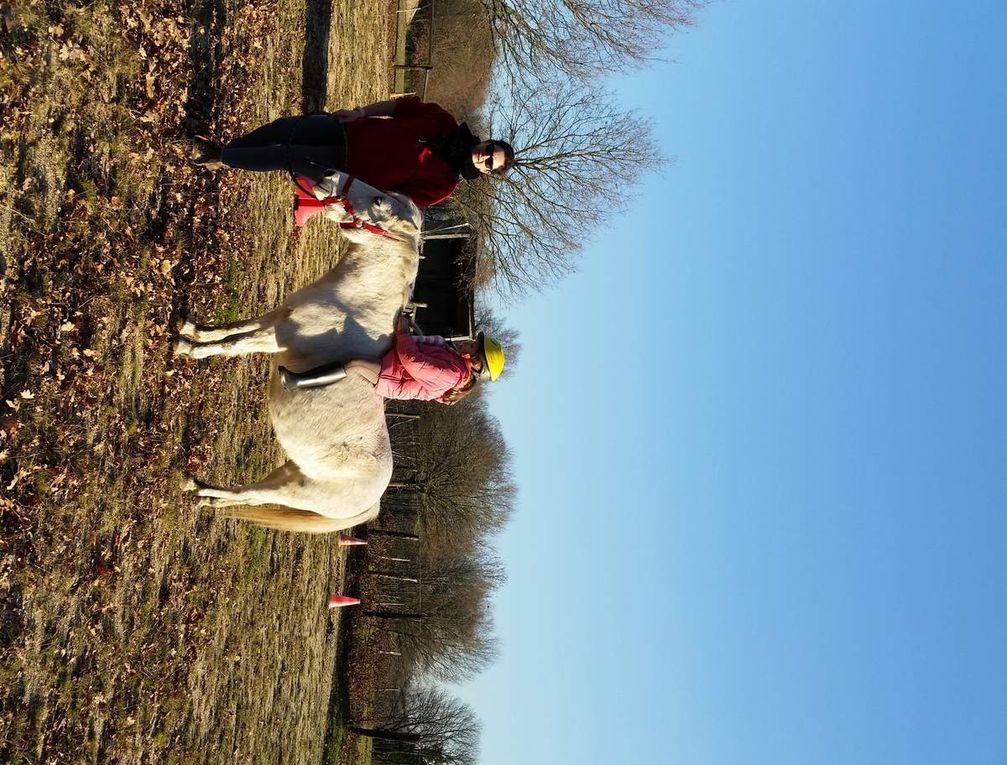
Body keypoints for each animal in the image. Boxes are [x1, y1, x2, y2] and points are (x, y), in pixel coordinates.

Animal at [175, 172, 422, 531]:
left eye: (378, 201)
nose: (328, 176)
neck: (358, 302)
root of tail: (373, 501)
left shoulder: (276, 336)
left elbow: (231, 345)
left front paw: (187, 349)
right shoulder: (275, 318)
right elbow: (232, 329)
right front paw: (190, 330)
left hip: (294, 490)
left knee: (253, 496)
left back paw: (200, 492)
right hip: (289, 471)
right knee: (248, 494)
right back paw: (203, 493)